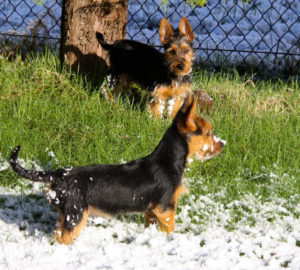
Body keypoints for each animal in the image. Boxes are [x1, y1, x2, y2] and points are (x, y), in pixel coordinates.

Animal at [8, 95, 225, 245]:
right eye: (208, 133)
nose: (223, 144)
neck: (168, 160)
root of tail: (58, 174)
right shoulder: (165, 208)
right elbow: (170, 227)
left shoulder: (152, 211)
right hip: (76, 213)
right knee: (64, 237)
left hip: (66, 213)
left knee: (57, 233)